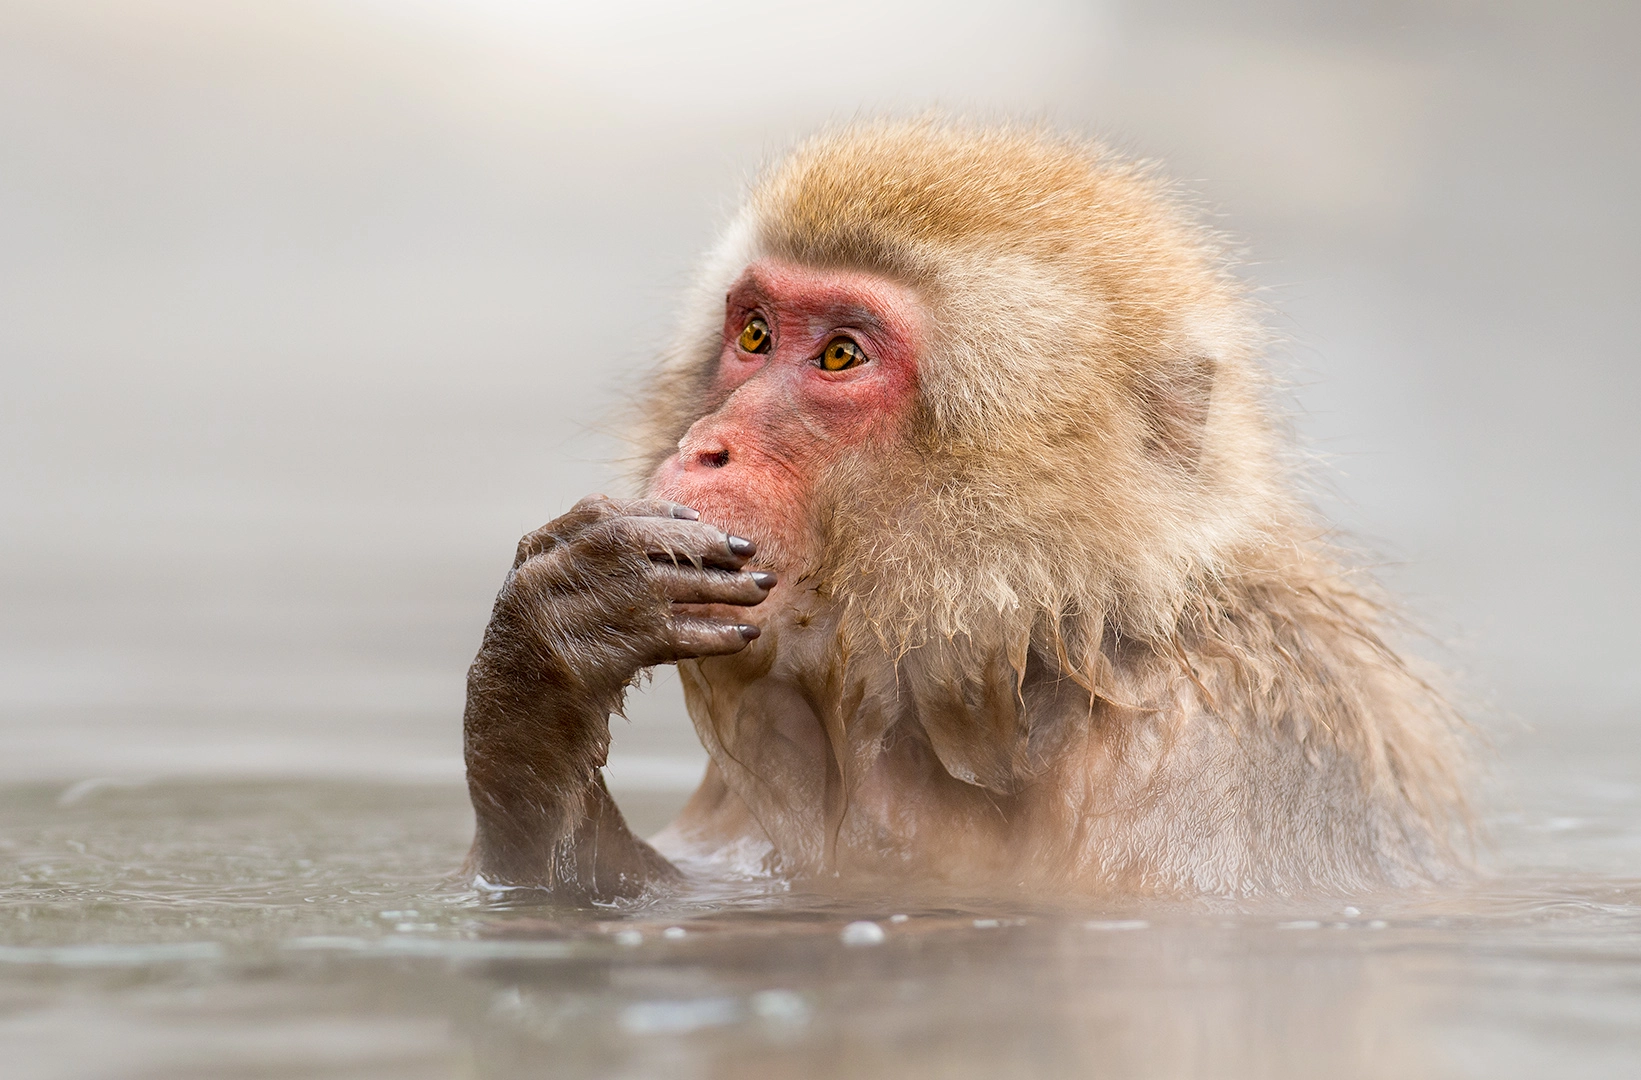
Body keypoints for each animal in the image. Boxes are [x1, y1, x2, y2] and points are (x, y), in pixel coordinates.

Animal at [461, 119, 1471, 902]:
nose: (708, 444)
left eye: (839, 354)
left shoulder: (1206, 754)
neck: (1033, 642)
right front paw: (544, 662)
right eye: (753, 334)